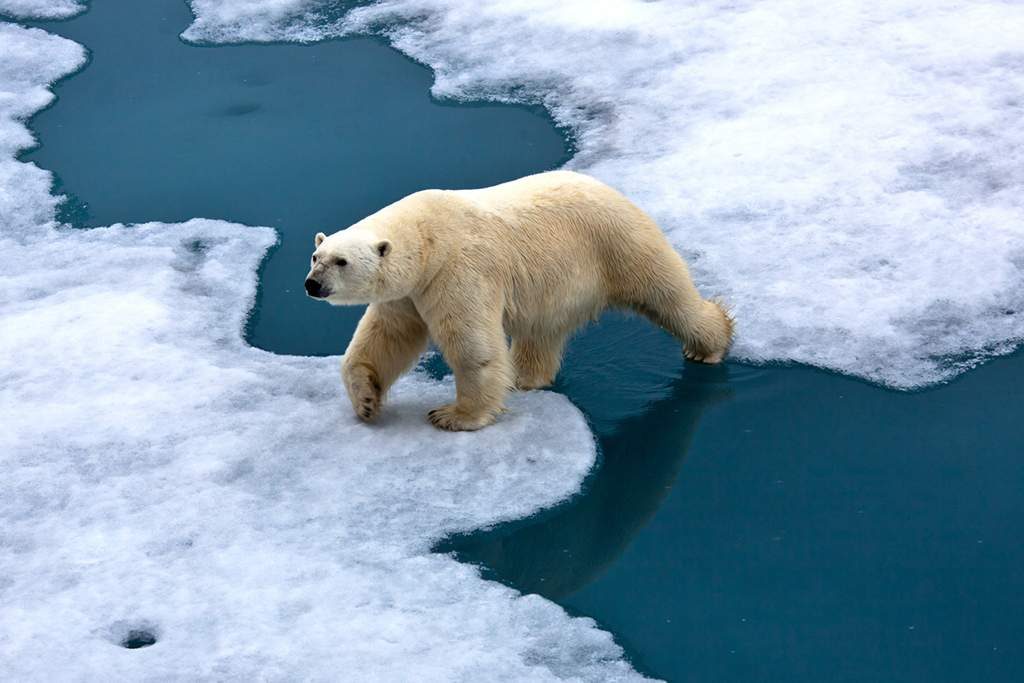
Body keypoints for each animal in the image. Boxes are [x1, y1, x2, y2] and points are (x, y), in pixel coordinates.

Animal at [299, 171, 733, 430]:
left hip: (619, 244)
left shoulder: (457, 271)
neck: (429, 237)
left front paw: (454, 415)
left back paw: (710, 343)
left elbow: (472, 347)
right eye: (316, 256)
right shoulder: (408, 292)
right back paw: (526, 378)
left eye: (341, 261)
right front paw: (366, 401)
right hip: (557, 284)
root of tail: (613, 189)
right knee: (541, 333)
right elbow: (385, 338)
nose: (311, 285)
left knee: (668, 295)